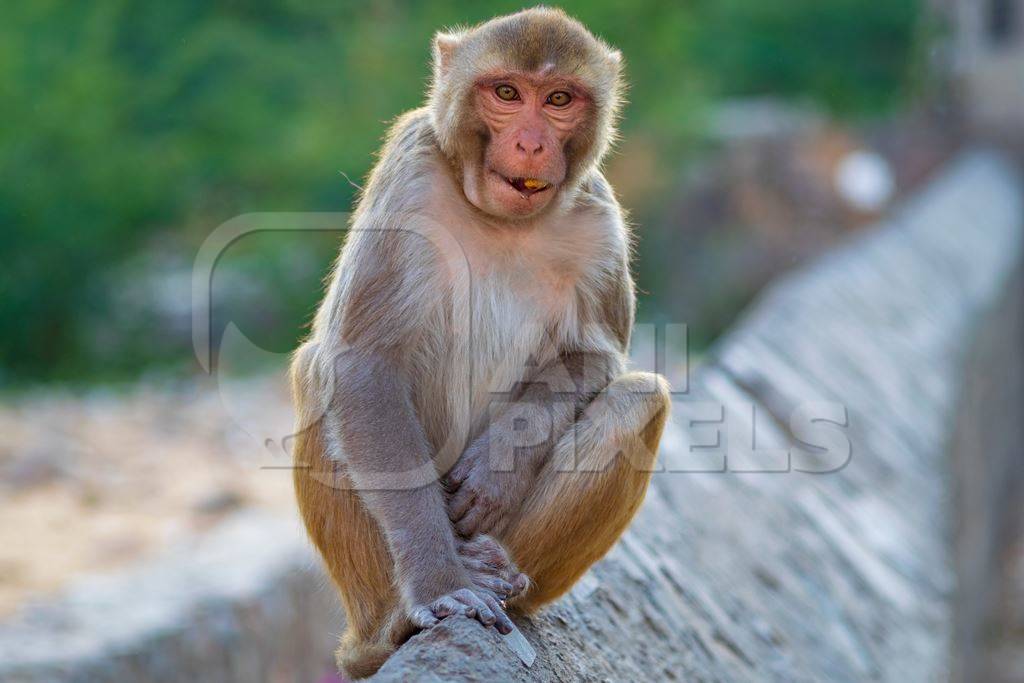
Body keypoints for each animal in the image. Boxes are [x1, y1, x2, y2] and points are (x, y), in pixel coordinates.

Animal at [290, 6, 671, 679]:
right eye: (506, 93)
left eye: (559, 99)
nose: (531, 144)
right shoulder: (410, 171)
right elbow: (364, 364)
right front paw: (442, 585)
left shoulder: (599, 217)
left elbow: (593, 357)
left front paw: (501, 462)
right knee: (320, 372)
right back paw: (395, 621)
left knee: (639, 398)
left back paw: (500, 570)